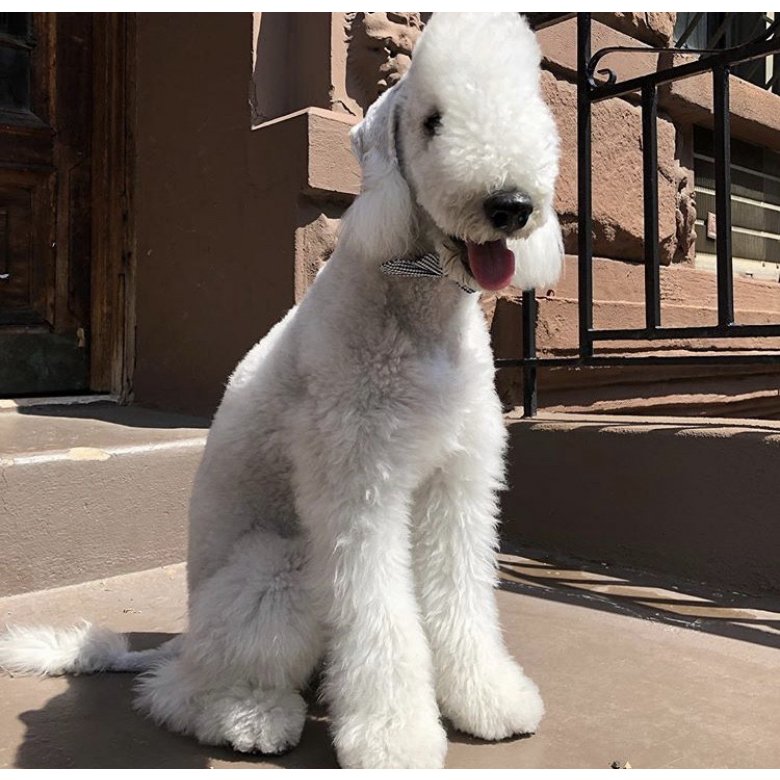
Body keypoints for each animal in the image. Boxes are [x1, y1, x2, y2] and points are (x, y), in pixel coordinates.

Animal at [0, 10, 560, 768]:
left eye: (532, 106)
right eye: (432, 121)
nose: (510, 206)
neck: (415, 307)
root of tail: (182, 640)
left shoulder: (457, 481)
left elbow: (462, 595)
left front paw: (489, 701)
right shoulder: (357, 485)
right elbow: (379, 619)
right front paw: (395, 739)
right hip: (280, 569)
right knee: (176, 693)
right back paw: (252, 717)